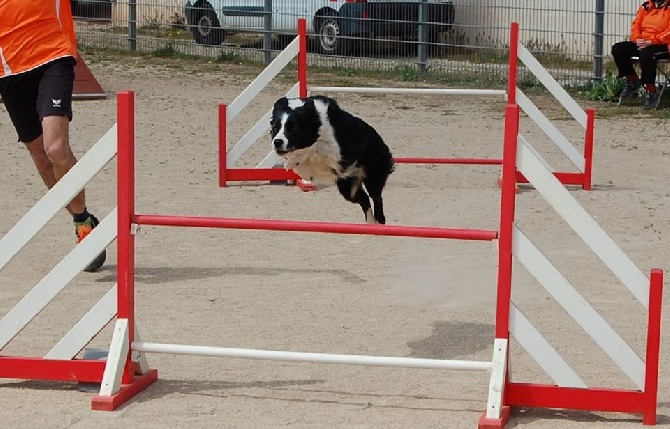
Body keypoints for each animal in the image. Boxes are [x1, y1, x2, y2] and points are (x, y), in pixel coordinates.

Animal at [272, 96, 396, 224]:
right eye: (275, 128)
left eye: (294, 129)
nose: (277, 142)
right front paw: (293, 161)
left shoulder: (340, 150)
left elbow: (316, 147)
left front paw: (297, 157)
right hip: (348, 187)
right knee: (364, 198)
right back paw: (370, 223)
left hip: (373, 176)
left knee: (376, 198)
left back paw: (379, 221)